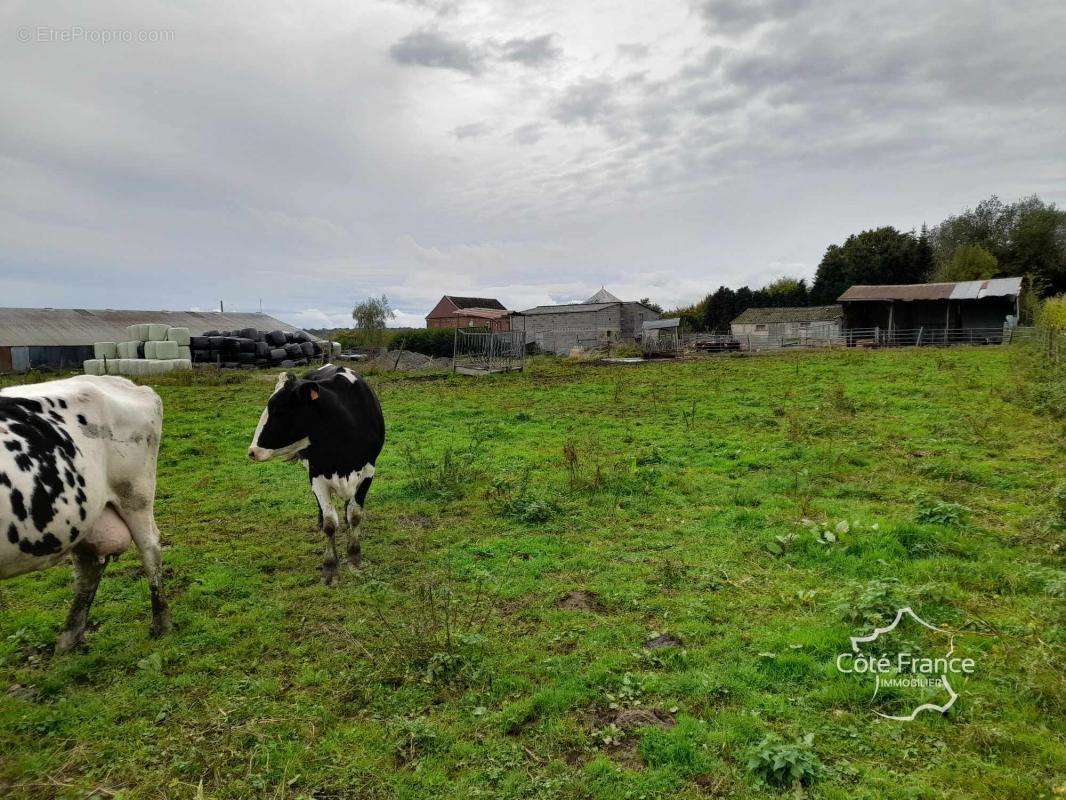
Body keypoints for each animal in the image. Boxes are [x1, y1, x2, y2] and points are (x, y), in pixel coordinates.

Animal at [1, 375, 170, 652]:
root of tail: (127, 383)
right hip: (83, 518)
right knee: (90, 568)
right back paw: (69, 638)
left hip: (135, 494)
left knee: (150, 550)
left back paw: (160, 624)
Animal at [247, 362, 385, 584]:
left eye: (277, 409)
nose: (252, 451)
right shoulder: (316, 474)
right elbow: (330, 523)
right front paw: (330, 567)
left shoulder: (368, 471)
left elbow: (355, 515)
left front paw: (355, 557)